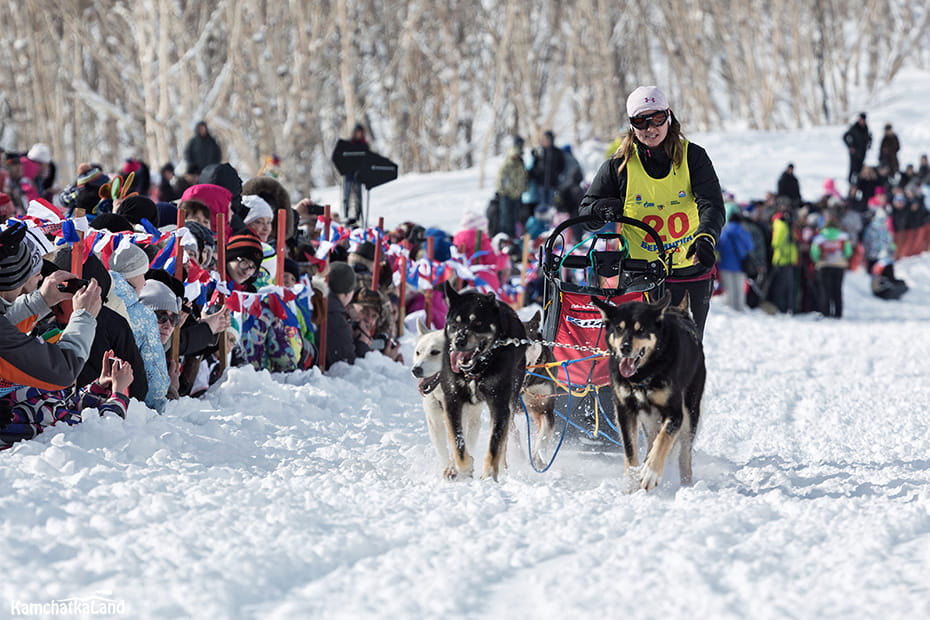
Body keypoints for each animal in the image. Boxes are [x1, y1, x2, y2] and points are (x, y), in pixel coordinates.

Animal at [440, 284, 524, 482]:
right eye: (454, 324)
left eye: (477, 323)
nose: (459, 341)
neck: (475, 370)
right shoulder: (452, 401)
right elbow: (457, 441)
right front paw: (463, 468)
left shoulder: (499, 404)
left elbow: (495, 443)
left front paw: (488, 475)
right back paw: (451, 467)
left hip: (511, 400)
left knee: (505, 439)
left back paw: (502, 467)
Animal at [588, 294, 704, 492]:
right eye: (618, 328)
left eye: (640, 329)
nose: (624, 347)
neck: (643, 374)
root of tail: (680, 312)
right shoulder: (625, 412)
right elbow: (630, 450)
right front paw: (632, 485)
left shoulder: (675, 414)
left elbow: (663, 440)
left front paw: (650, 474)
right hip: (650, 419)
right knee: (652, 440)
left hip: (690, 411)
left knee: (684, 454)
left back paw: (686, 484)